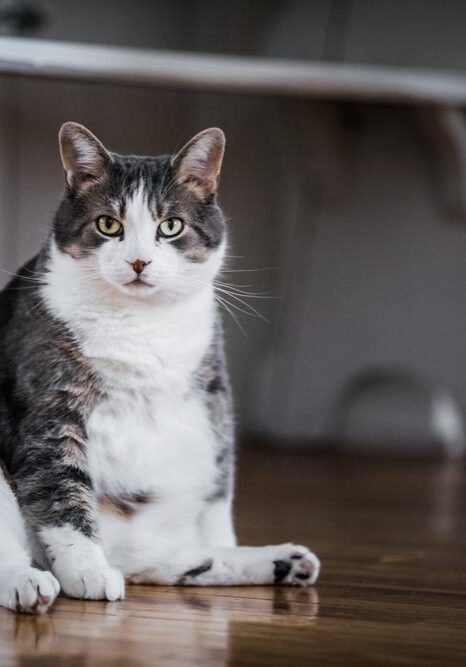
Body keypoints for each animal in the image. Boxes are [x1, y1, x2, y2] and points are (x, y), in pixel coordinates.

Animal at [0, 122, 320, 612]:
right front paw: (87, 571)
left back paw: (285, 562)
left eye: (170, 226)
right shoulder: (48, 408)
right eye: (108, 224)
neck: (141, 324)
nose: (138, 261)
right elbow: (62, 494)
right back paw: (31, 583)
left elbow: (218, 494)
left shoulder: (212, 396)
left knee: (170, 558)